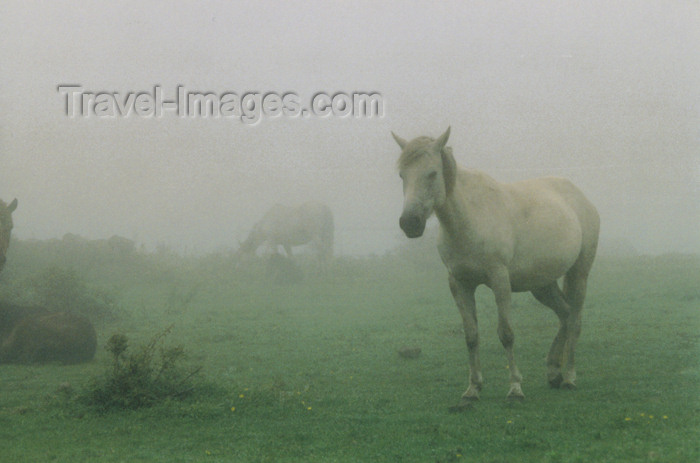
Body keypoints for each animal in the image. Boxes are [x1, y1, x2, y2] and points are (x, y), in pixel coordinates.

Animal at [392, 128, 600, 402]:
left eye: (432, 173)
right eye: (402, 175)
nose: (410, 223)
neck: (470, 218)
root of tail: (580, 197)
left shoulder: (499, 280)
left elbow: (506, 334)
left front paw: (515, 388)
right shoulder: (459, 284)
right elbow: (471, 335)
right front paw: (472, 389)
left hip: (579, 273)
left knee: (575, 321)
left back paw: (569, 377)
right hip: (542, 284)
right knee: (565, 314)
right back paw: (553, 371)